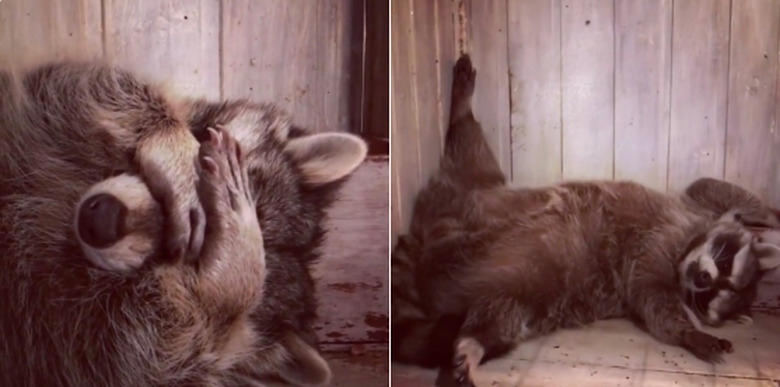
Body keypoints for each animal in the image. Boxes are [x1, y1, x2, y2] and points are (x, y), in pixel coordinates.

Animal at [0, 60, 368, 384]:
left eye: (178, 262)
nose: (100, 221)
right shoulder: (43, 109)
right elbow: (76, 82)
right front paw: (166, 137)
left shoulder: (70, 341)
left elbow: (143, 358)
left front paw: (235, 274)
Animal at [394, 55, 780, 387]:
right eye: (724, 263)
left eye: (711, 298)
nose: (701, 279)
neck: (686, 248)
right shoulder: (675, 224)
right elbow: (708, 187)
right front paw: (768, 213)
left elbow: (649, 297)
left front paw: (688, 330)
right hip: (466, 191)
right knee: (468, 148)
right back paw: (461, 107)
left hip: (523, 292)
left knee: (500, 320)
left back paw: (472, 344)